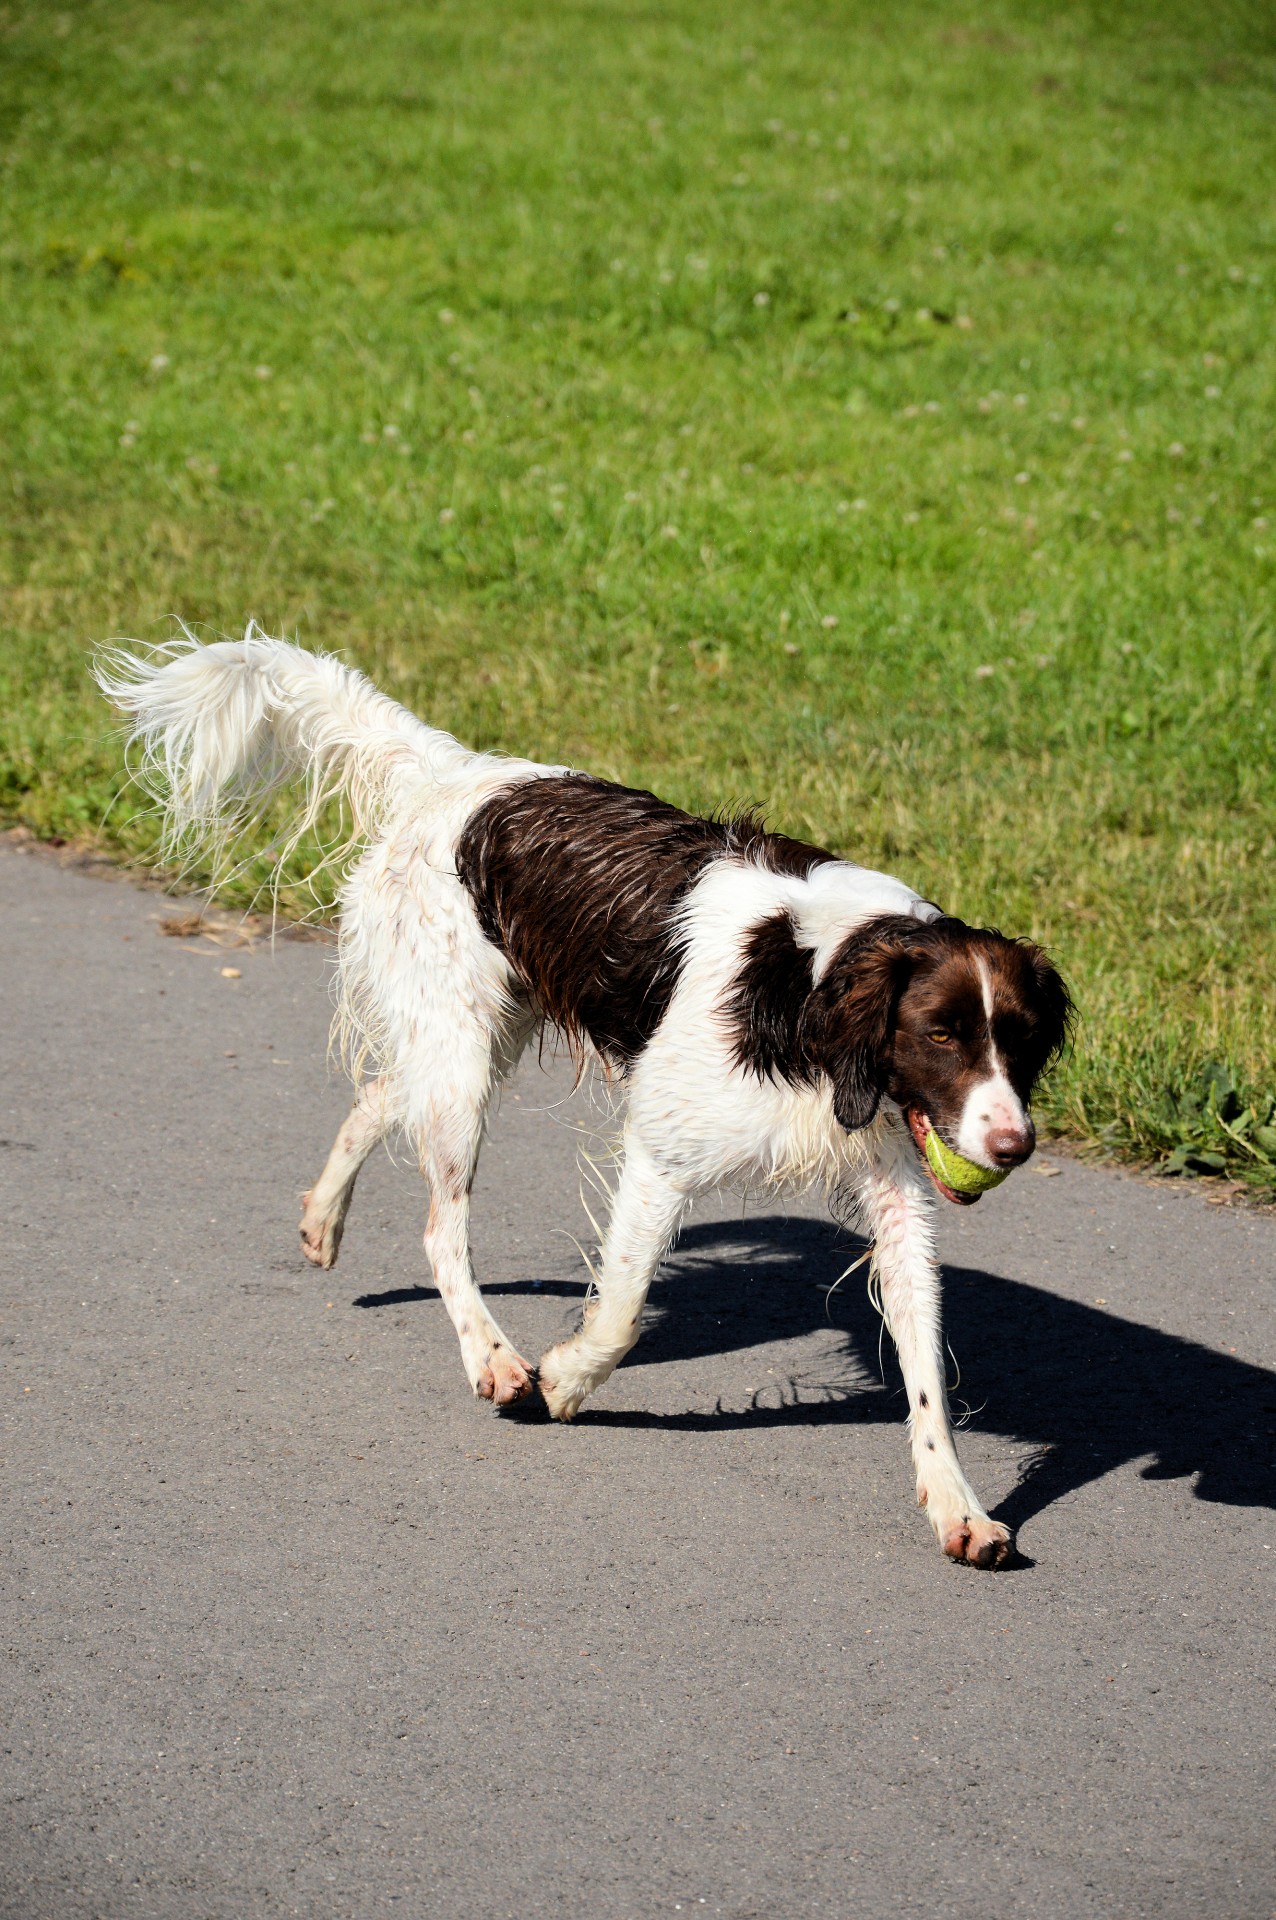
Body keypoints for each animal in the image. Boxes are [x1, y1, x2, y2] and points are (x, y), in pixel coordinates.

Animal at [99, 637, 1066, 1566]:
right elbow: (623, 1308)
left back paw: (322, 1220)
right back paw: (491, 1356)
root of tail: (455, 770)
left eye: (1018, 1040)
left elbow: (927, 1373)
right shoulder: (662, 1153)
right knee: (440, 1225)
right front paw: (562, 1381)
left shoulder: (896, 1193)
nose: (1015, 1146)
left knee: (379, 1096)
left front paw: (959, 1509)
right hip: (462, 1064)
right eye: (940, 1034)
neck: (805, 985)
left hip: (476, 1038)